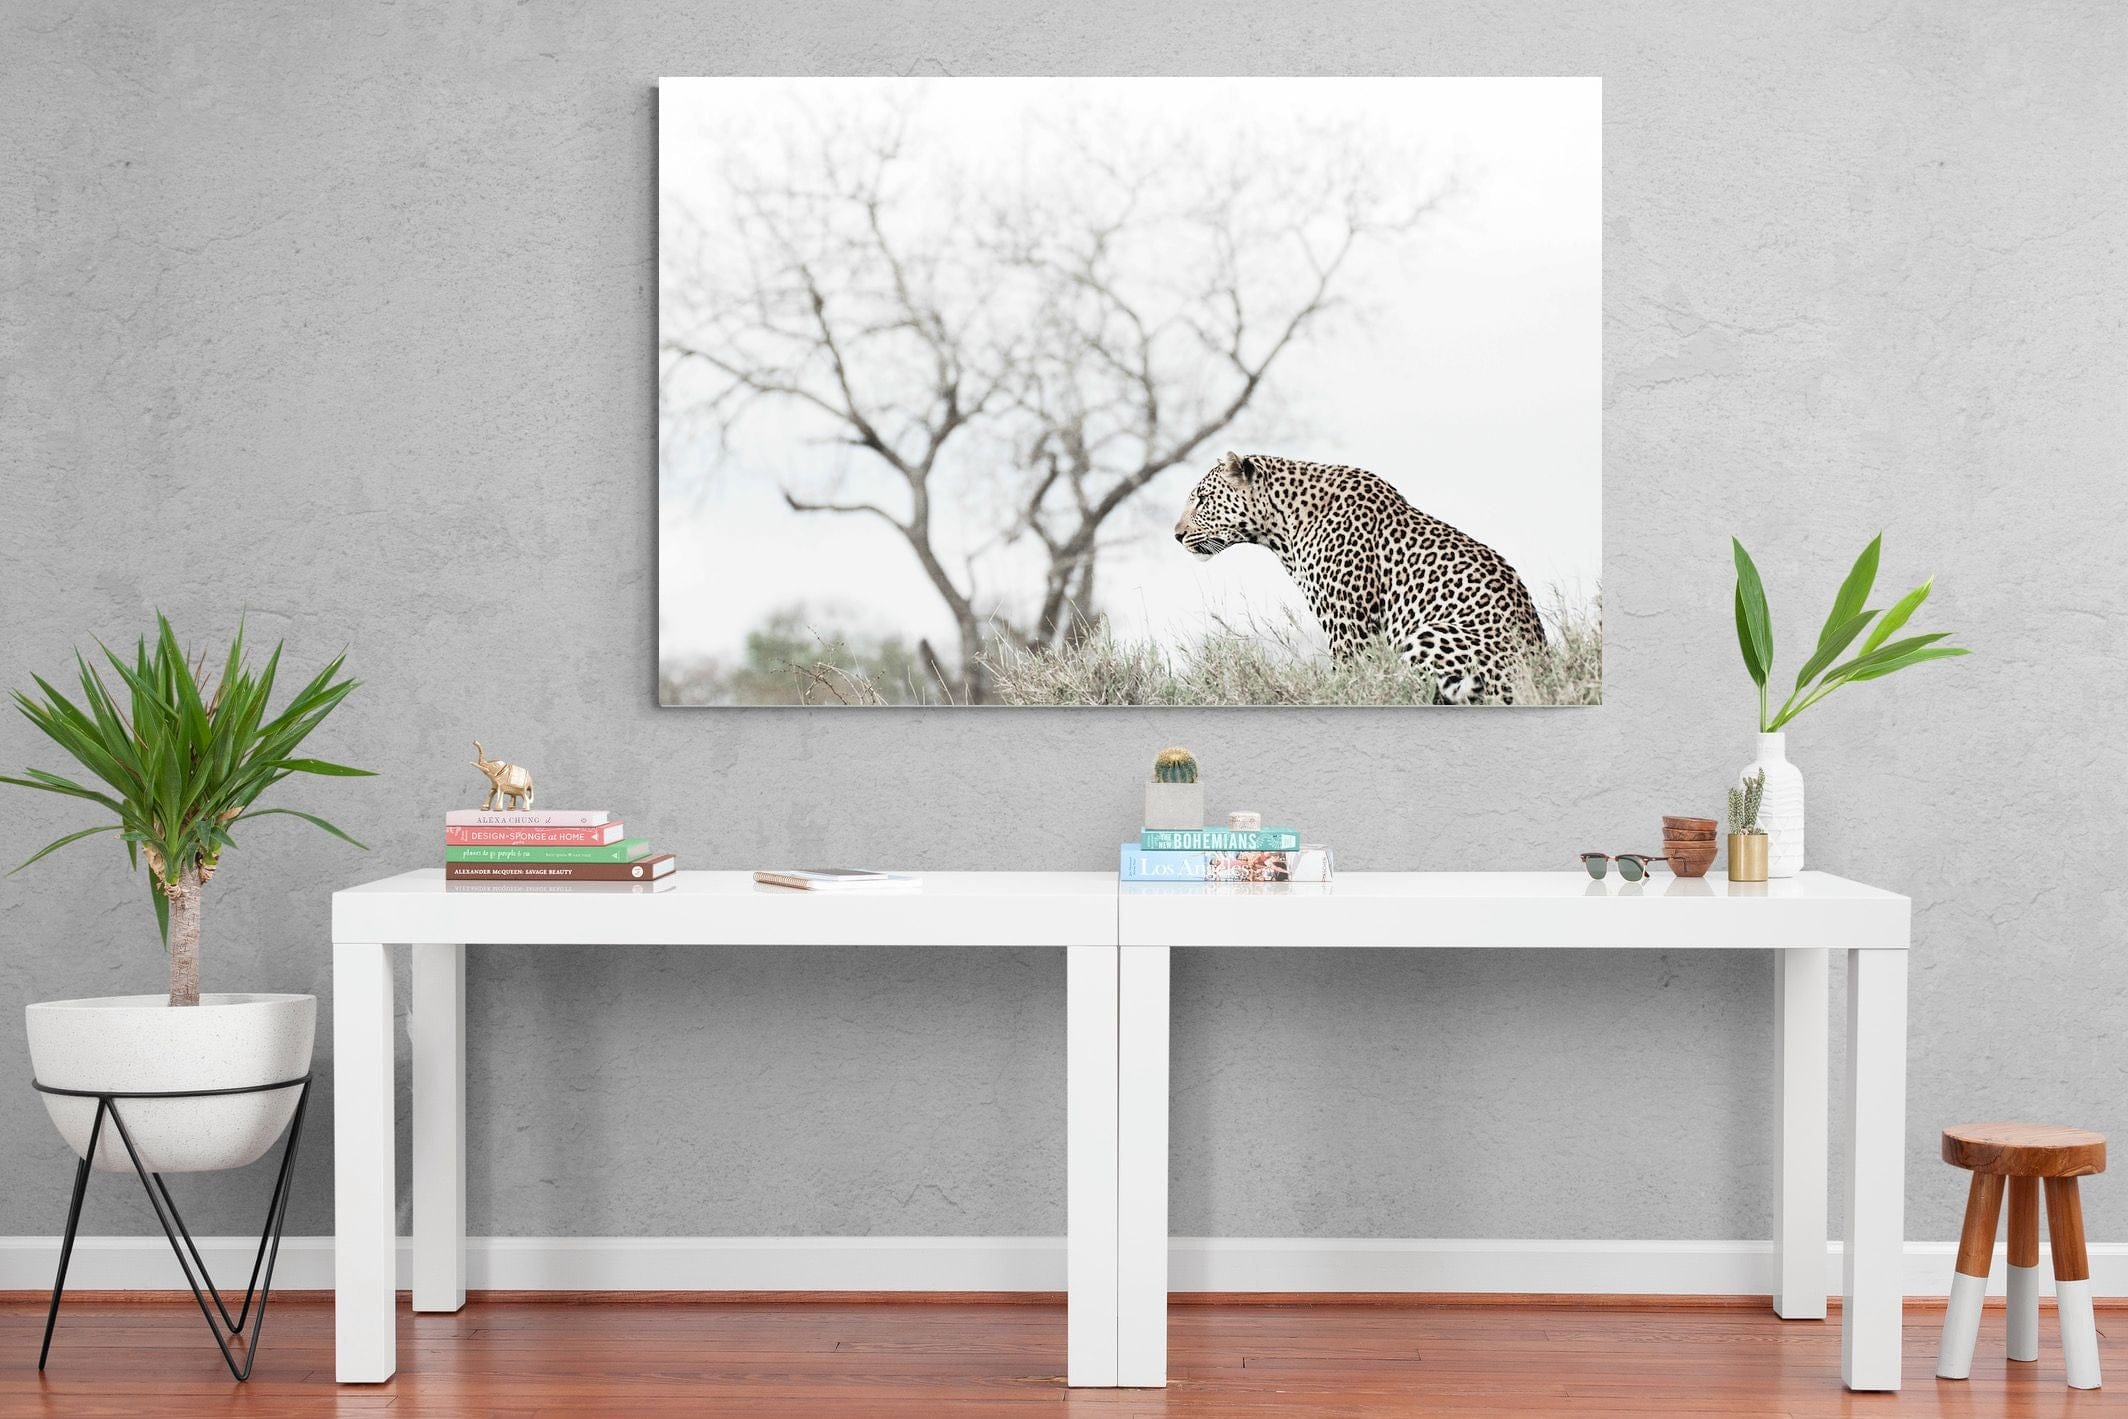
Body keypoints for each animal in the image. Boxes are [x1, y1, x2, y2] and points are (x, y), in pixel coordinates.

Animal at [1173, 451, 1547, 704]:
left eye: (1203, 499)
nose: (1176, 535)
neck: (1281, 526)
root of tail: (1540, 668)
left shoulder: (1348, 625)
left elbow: (1349, 679)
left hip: (1429, 634)